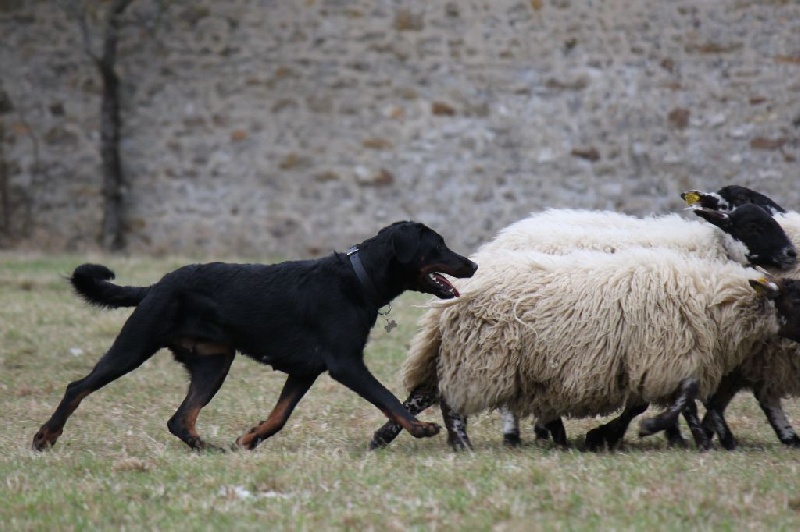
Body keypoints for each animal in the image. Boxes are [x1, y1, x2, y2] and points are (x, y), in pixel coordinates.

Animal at [31, 222, 478, 450]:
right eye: (438, 245)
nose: (472, 265)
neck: (357, 279)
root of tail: (156, 285)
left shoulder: (305, 370)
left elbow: (280, 416)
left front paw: (249, 438)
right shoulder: (345, 364)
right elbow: (388, 399)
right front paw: (420, 429)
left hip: (214, 362)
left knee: (180, 418)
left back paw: (208, 450)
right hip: (135, 345)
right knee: (78, 387)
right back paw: (45, 436)